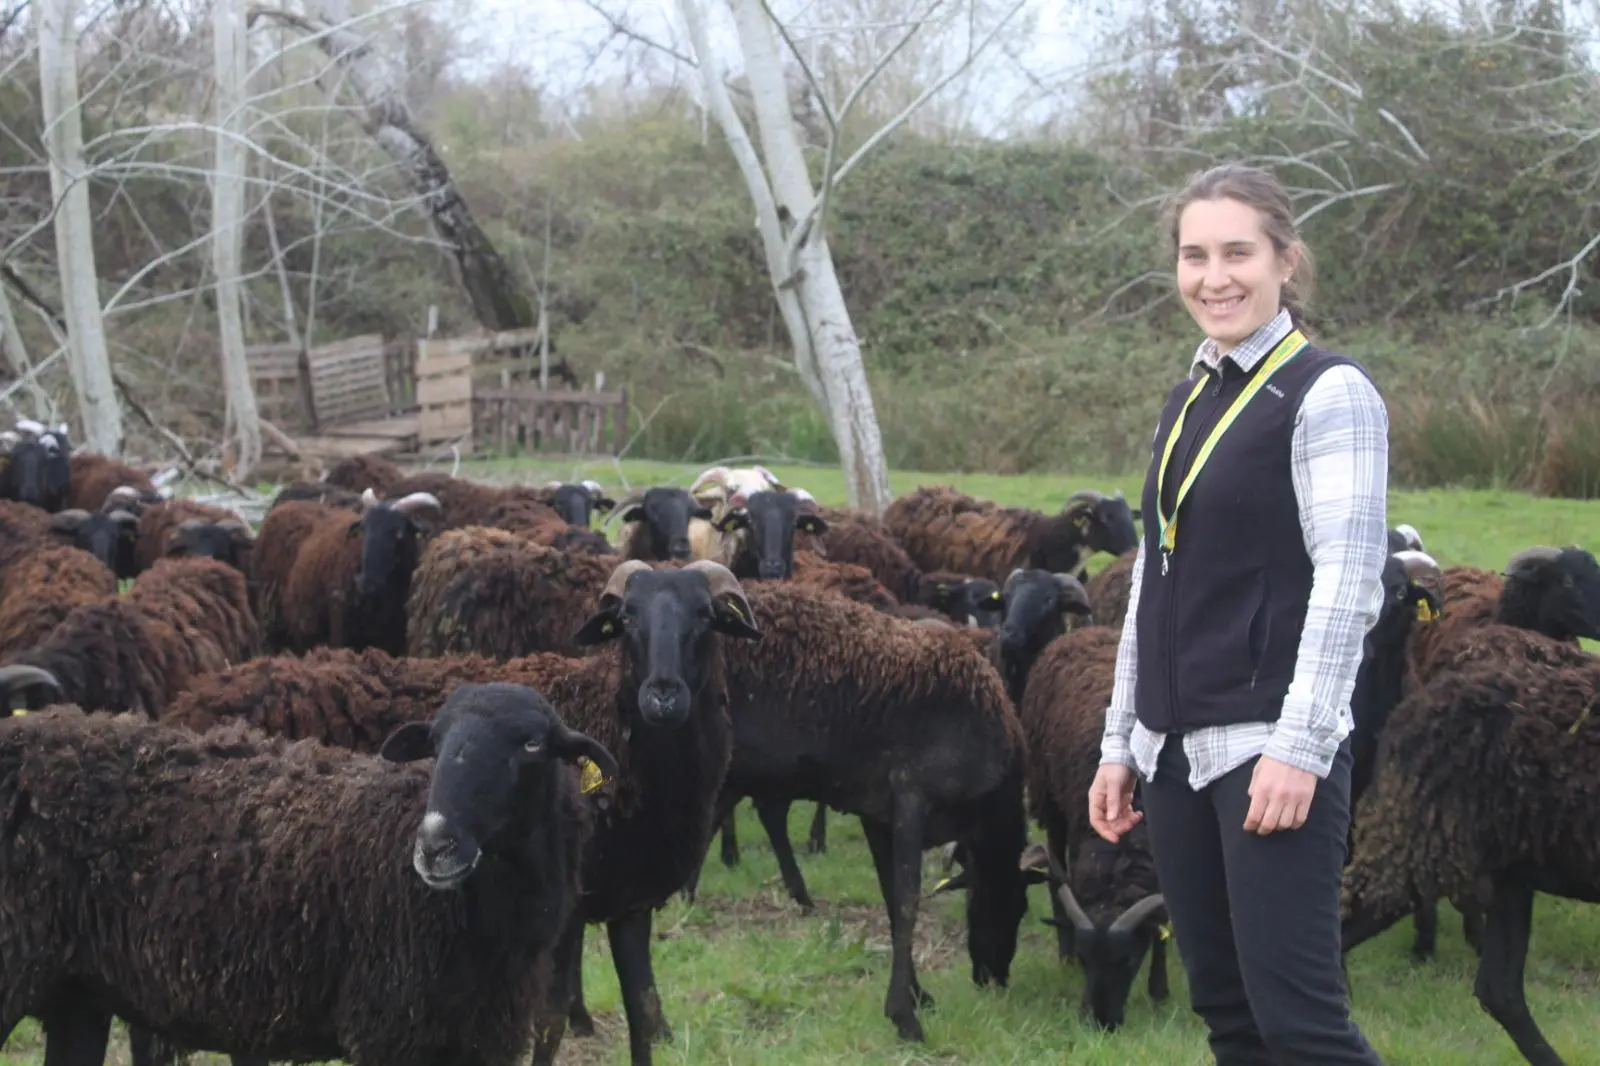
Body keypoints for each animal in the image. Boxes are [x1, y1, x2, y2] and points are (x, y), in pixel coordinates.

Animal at [0, 675, 614, 1062]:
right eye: (435, 744)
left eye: (532, 744)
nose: (435, 845)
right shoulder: (389, 1032)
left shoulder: (488, 1041)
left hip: (78, 995)